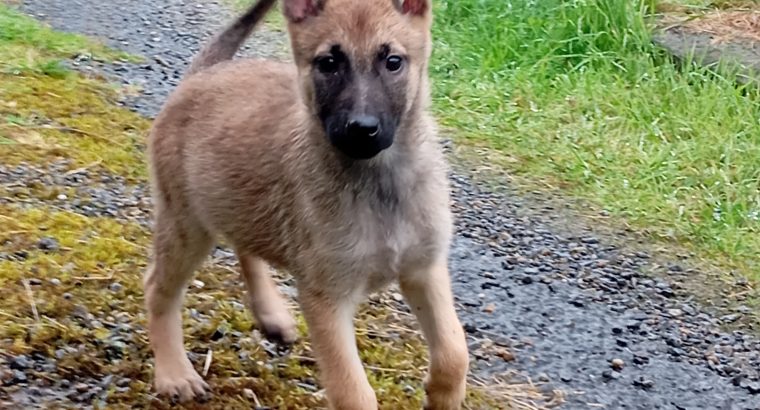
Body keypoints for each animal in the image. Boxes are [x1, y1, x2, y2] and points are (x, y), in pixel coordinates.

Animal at [140, 0, 466, 406]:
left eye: (393, 61)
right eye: (328, 63)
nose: (362, 129)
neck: (379, 182)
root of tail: (202, 75)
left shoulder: (424, 268)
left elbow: (454, 351)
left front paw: (441, 396)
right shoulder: (326, 298)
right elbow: (353, 392)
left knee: (246, 246)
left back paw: (271, 314)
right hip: (187, 225)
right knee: (158, 288)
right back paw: (174, 372)